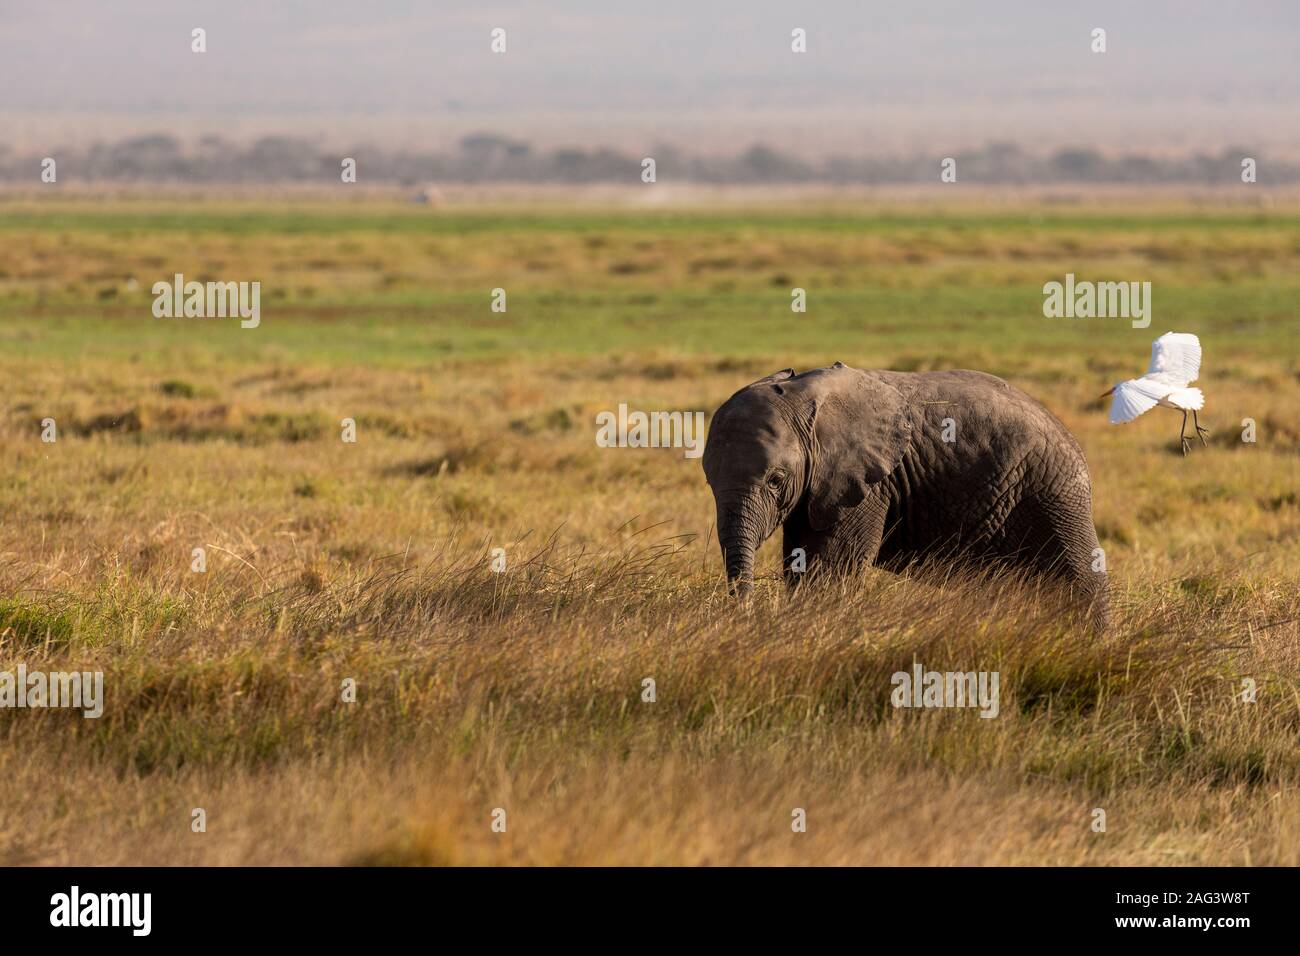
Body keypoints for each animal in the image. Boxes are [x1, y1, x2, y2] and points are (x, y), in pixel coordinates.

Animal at [702, 361, 1107, 629]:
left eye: (775, 480)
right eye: (709, 482)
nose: (745, 615)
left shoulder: (865, 482)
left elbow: (829, 568)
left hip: (1051, 491)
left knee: (1079, 578)